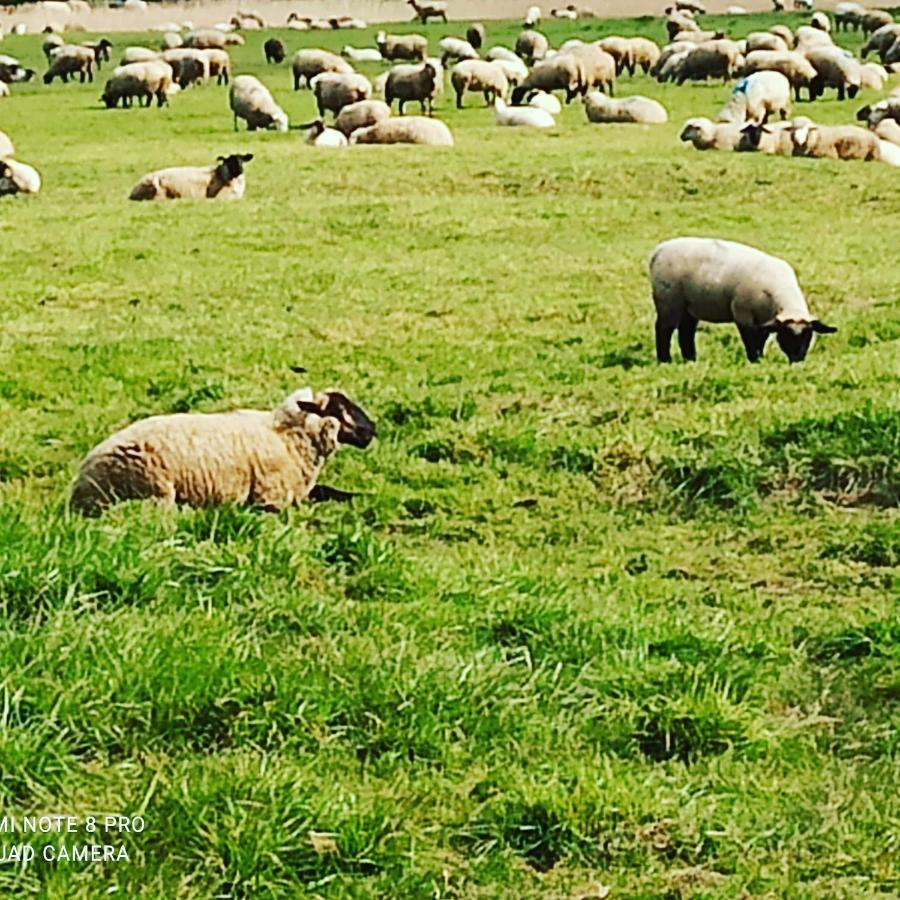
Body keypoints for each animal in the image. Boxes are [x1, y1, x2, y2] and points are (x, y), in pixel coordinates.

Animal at [70, 384, 376, 512]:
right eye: (339, 408)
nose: (372, 429)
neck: (289, 438)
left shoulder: (301, 491)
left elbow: (334, 492)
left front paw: (365, 496)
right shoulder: (270, 498)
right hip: (154, 490)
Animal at [648, 241, 836, 368]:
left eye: (808, 335)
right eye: (786, 334)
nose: (797, 360)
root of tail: (658, 251)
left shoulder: (764, 321)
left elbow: (761, 340)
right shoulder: (743, 315)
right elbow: (751, 342)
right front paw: (755, 361)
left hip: (689, 306)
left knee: (686, 332)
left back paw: (691, 360)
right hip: (668, 301)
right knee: (664, 329)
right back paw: (665, 360)